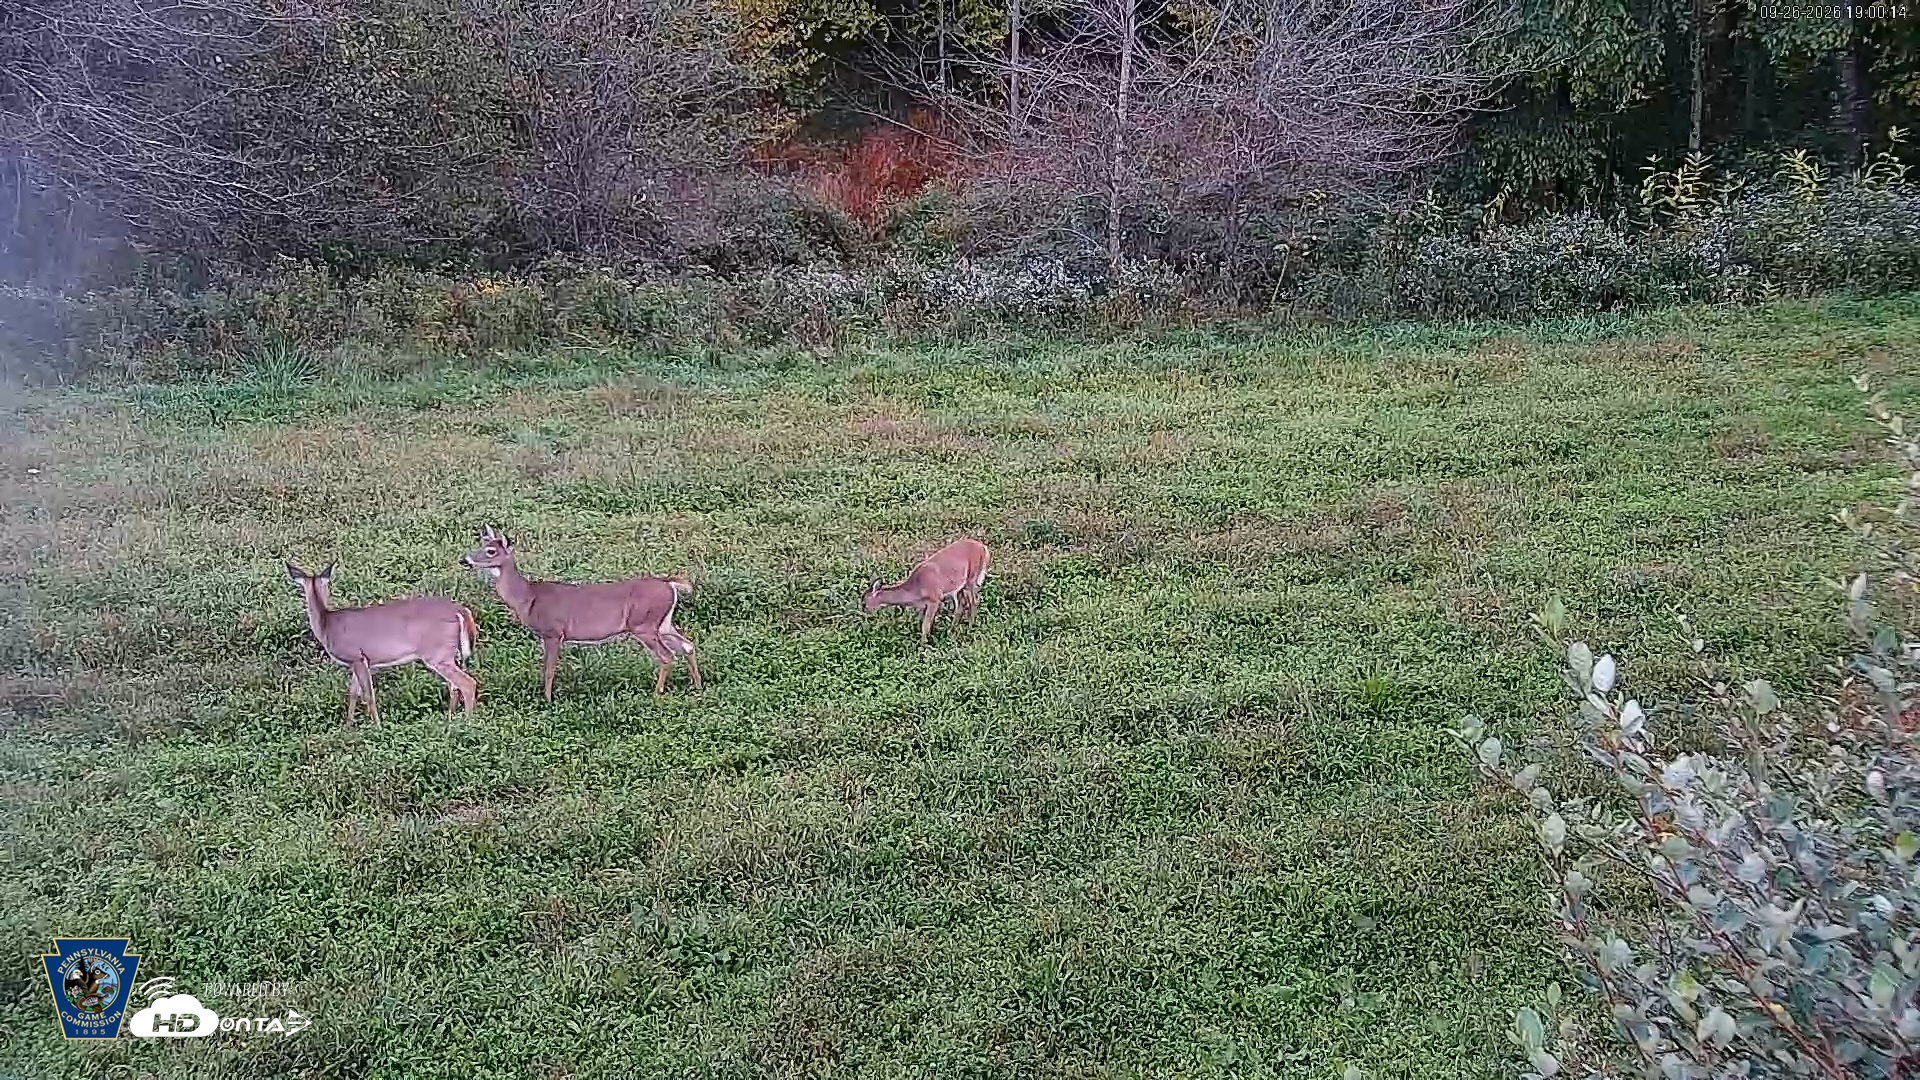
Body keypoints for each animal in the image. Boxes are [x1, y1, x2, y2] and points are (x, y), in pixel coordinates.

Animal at [285, 562, 478, 723]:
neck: (327, 624)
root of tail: (461, 611)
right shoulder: (360, 661)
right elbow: (353, 694)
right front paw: (347, 727)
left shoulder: (356, 657)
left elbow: (368, 695)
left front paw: (377, 726)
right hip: (448, 655)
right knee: (454, 686)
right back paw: (450, 720)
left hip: (437, 654)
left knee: (467, 684)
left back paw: (467, 724)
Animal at [461, 526, 699, 701]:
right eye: (481, 544)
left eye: (491, 551)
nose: (465, 560)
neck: (528, 598)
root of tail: (669, 584)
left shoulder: (553, 632)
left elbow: (549, 669)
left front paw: (547, 700)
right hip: (663, 623)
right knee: (687, 646)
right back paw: (697, 687)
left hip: (644, 624)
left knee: (667, 655)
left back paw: (657, 693)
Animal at [862, 537, 992, 644]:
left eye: (864, 602)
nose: (864, 613)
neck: (916, 589)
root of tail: (984, 548)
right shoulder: (923, 605)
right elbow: (923, 624)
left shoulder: (935, 599)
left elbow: (925, 626)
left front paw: (922, 647)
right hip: (960, 586)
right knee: (961, 605)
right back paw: (952, 631)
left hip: (971, 578)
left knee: (973, 602)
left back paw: (970, 629)